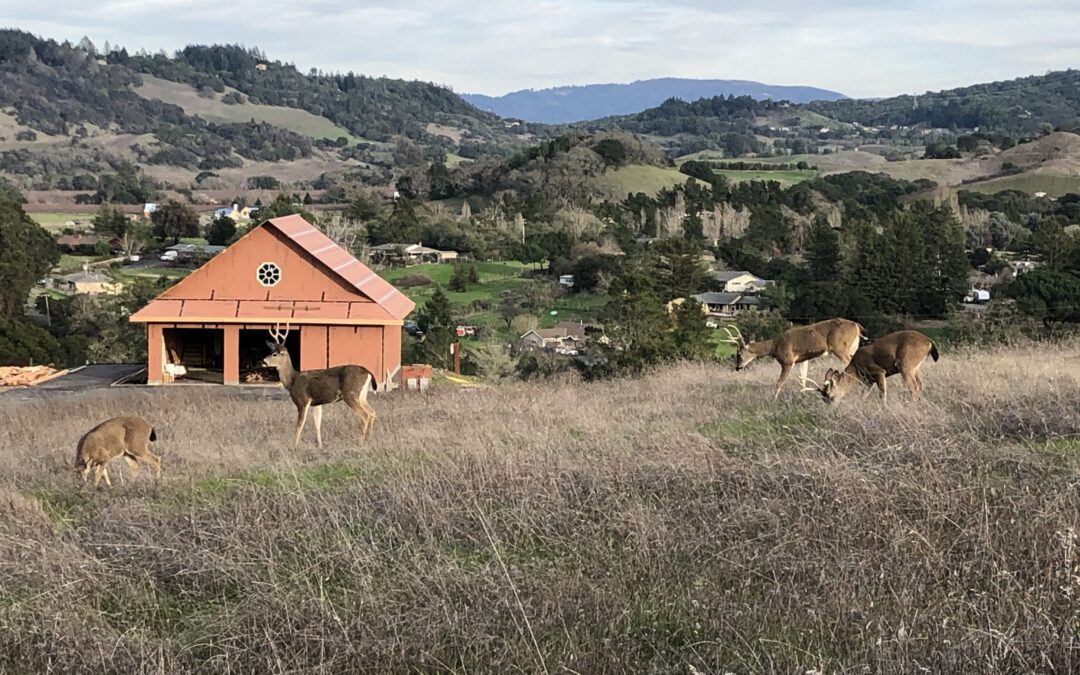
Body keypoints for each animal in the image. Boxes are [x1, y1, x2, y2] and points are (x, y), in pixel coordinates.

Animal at [725, 317, 868, 397]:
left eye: (738, 354)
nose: (737, 367)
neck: (774, 346)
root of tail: (857, 326)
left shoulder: (787, 361)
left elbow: (779, 383)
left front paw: (773, 400)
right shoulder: (802, 360)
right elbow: (802, 381)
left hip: (840, 348)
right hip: (852, 348)